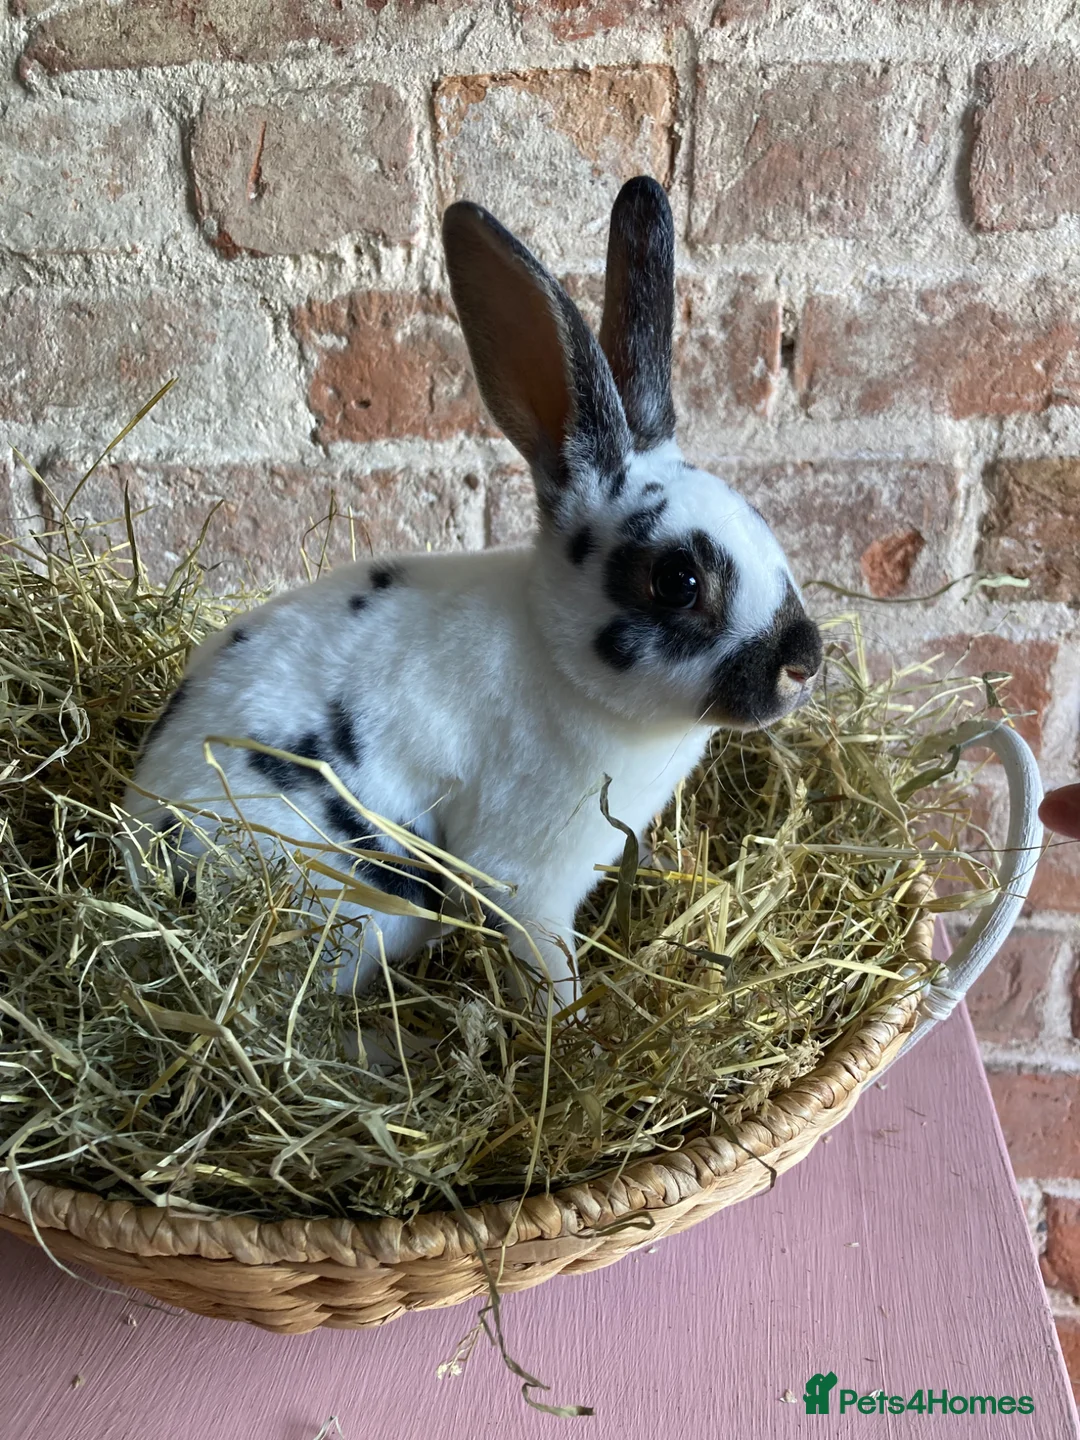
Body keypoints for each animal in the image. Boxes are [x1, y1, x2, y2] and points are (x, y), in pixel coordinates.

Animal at [121, 176, 823, 1012]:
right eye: (678, 581)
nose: (806, 661)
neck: (559, 663)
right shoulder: (524, 876)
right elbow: (543, 956)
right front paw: (567, 1022)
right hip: (372, 905)